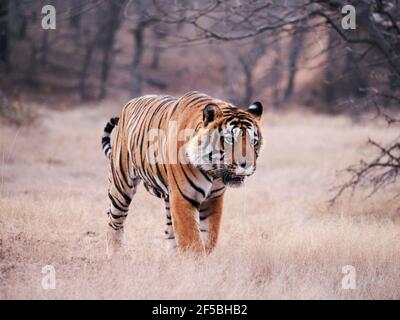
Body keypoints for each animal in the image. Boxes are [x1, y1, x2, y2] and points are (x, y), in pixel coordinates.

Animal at [101, 91, 262, 256]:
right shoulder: (183, 197)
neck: (212, 172)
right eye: (230, 140)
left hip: (167, 197)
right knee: (114, 222)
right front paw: (195, 262)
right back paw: (115, 254)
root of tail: (130, 103)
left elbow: (210, 236)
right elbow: (191, 240)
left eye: (254, 142)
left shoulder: (213, 199)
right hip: (121, 186)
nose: (247, 165)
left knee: (169, 231)